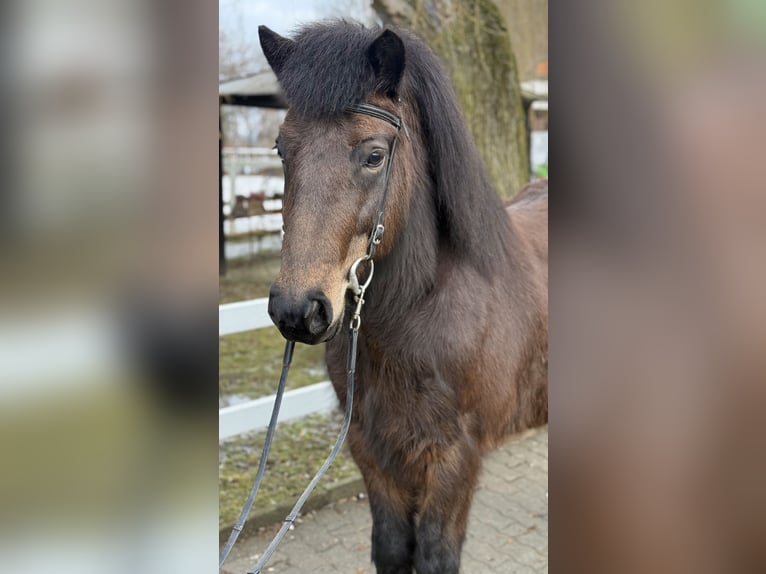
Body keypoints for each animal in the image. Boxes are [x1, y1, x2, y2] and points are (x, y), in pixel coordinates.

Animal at [259, 21, 548, 574]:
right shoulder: (372, 453)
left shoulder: (453, 461)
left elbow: (435, 555)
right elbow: (392, 547)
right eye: (282, 149)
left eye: (374, 155)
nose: (297, 310)